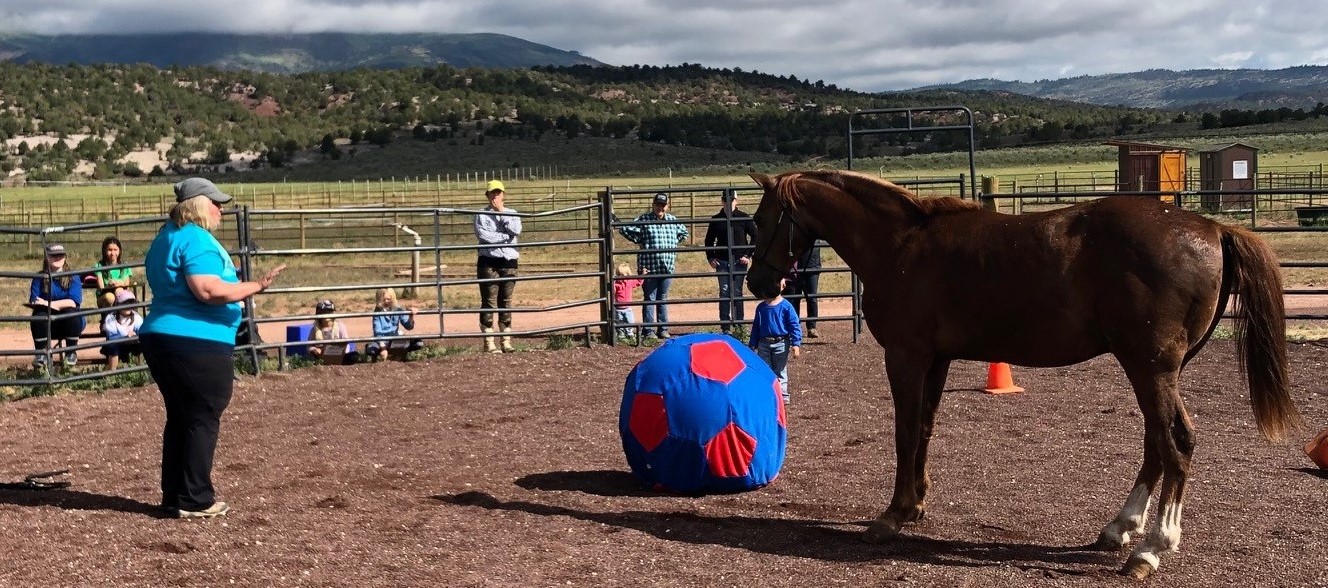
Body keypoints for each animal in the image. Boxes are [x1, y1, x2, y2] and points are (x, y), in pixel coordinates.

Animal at [748, 169, 1296, 581]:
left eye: (759, 219)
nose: (756, 282)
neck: (901, 246)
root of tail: (1213, 229)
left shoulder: (906, 356)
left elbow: (904, 433)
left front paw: (892, 516)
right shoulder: (937, 359)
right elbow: (923, 430)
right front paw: (915, 506)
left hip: (1151, 366)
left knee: (1175, 442)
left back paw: (1152, 548)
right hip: (1154, 369)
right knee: (1156, 444)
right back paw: (1120, 527)